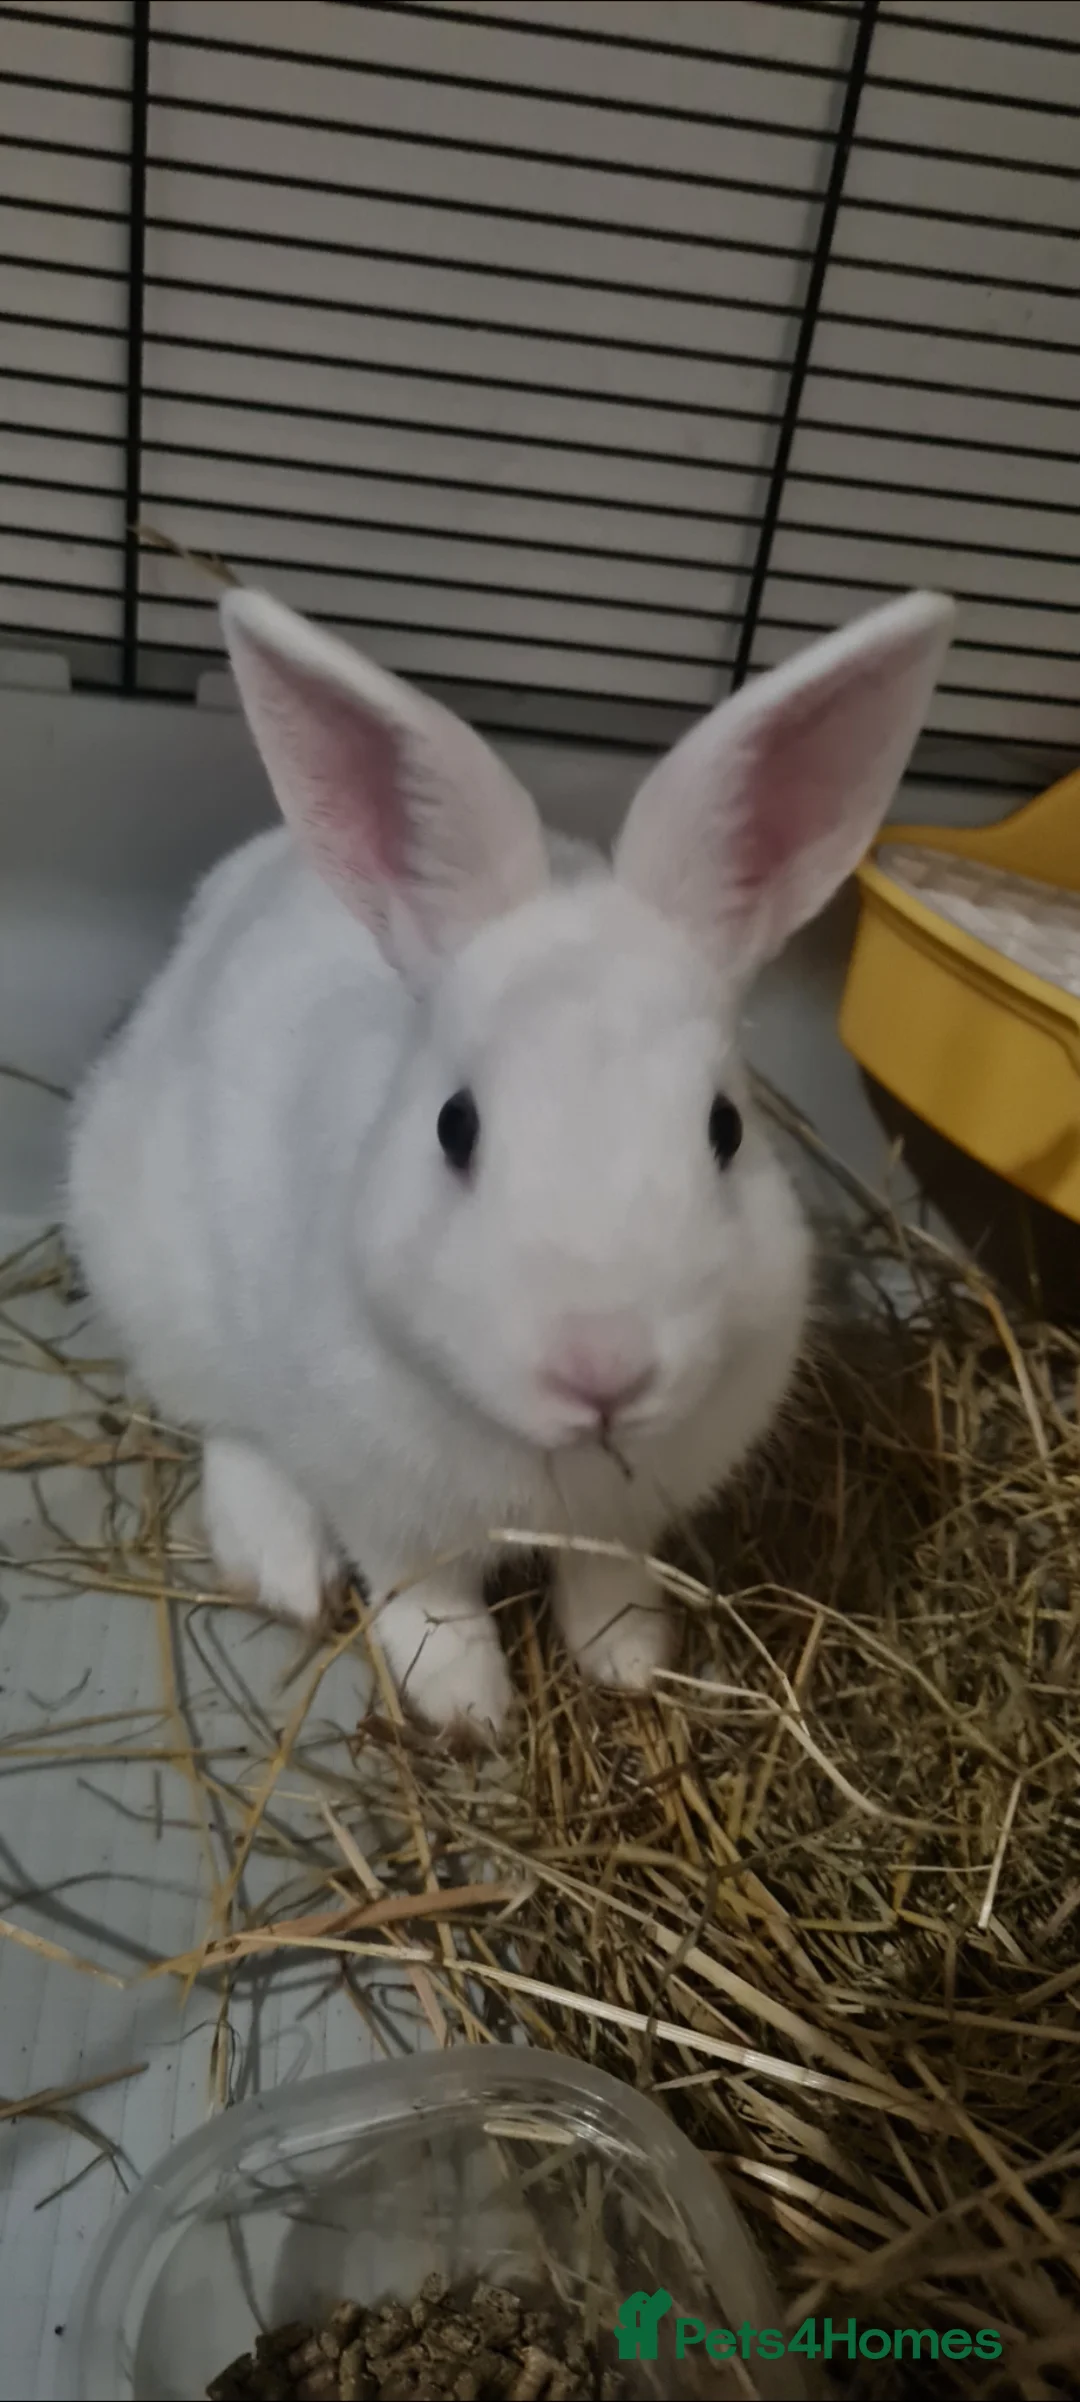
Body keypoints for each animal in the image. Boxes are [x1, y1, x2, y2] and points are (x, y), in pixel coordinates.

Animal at [67, 585, 955, 1741]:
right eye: (455, 1126)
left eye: (725, 1127)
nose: (603, 1372)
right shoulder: (388, 1505)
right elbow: (429, 1598)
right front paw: (468, 1705)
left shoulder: (628, 1518)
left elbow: (606, 1585)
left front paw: (631, 1659)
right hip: (162, 1285)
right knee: (226, 1425)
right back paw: (286, 1570)